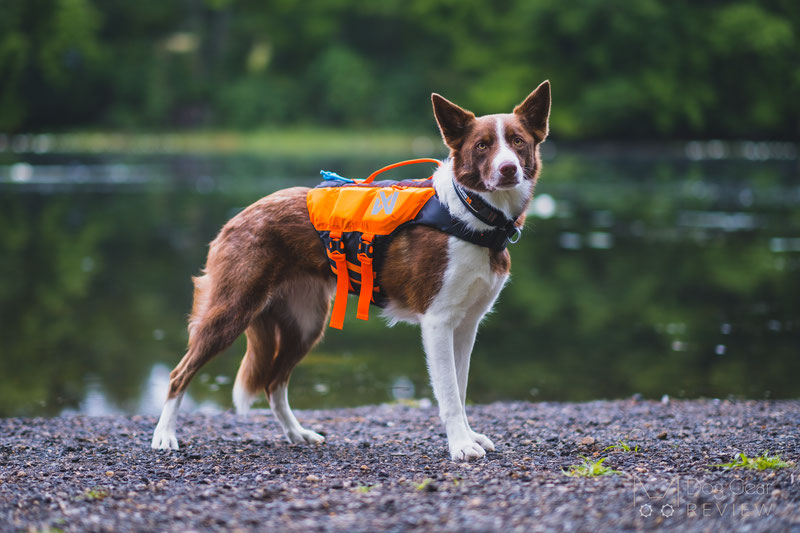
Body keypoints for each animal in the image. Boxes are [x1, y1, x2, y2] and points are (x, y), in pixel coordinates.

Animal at [152, 81, 552, 460]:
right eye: (482, 146)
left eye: (517, 141)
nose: (508, 169)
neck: (472, 214)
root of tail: (239, 216)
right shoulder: (438, 322)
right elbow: (450, 394)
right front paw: (460, 445)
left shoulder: (467, 325)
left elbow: (462, 387)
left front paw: (468, 436)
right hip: (232, 310)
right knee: (179, 374)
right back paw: (165, 435)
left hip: (306, 323)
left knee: (273, 382)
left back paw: (296, 433)